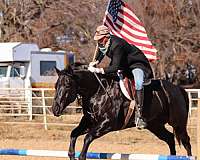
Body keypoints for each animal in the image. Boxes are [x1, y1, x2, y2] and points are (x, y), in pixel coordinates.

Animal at [52, 64, 192, 160]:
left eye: (68, 85)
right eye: (56, 85)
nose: (55, 109)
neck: (97, 91)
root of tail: (178, 89)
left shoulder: (107, 124)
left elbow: (87, 138)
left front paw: (81, 156)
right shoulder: (89, 122)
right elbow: (73, 134)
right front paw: (71, 154)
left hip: (178, 124)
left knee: (186, 142)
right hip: (155, 125)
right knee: (169, 138)